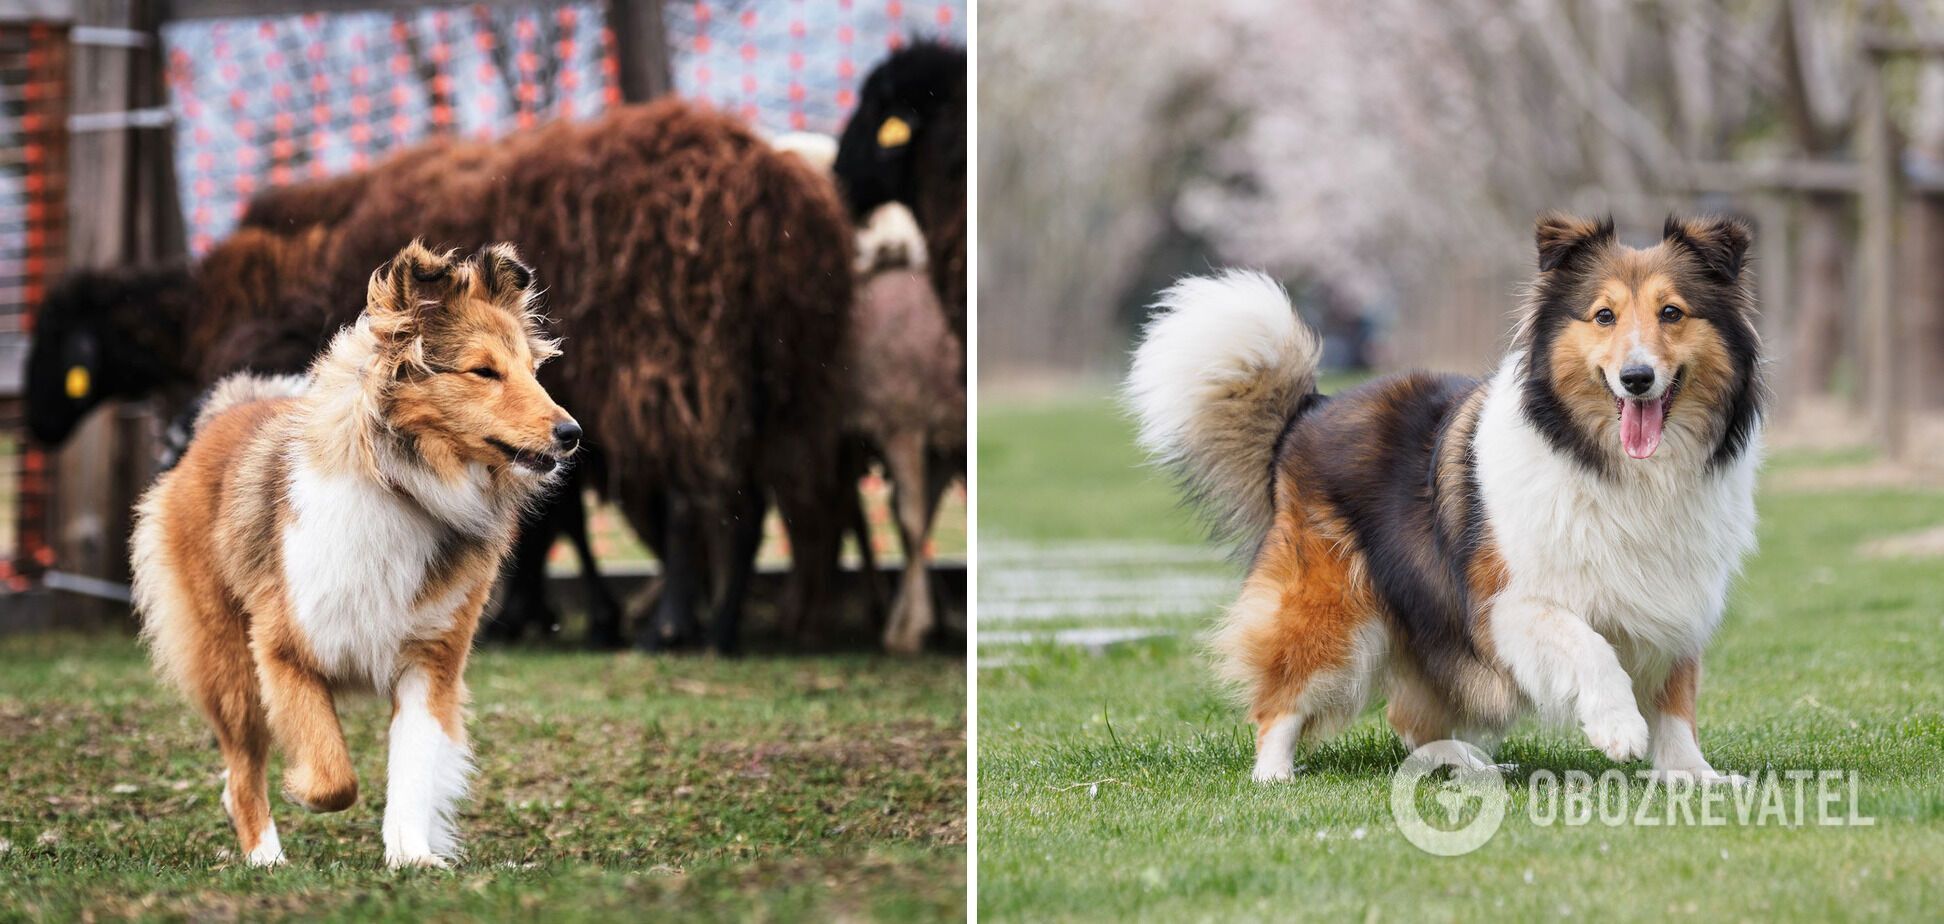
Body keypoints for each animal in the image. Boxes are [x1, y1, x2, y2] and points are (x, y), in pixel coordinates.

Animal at [26, 97, 851, 653]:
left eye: (59, 353)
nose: (33, 430)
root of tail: (773, 184)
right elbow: (547, 515)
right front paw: (538, 614)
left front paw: (539, 616)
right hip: (776, 382)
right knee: (749, 506)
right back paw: (722, 629)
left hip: (679, 367)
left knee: (690, 502)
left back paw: (676, 628)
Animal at [132, 238, 575, 867]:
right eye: (484, 371)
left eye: (534, 372)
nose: (573, 434)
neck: (408, 489)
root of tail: (221, 417)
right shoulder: (283, 649)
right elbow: (334, 777)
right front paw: (302, 789)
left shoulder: (430, 661)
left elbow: (412, 768)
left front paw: (412, 856)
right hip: (228, 663)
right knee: (243, 772)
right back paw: (266, 858)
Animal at [1135, 213, 1772, 785]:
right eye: (1604, 316)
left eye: (1672, 313)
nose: (1637, 379)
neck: (1615, 467)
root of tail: (1310, 409)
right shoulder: (1507, 604)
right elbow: (1589, 645)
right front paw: (1618, 727)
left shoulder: (1674, 599)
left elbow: (1676, 699)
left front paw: (1693, 775)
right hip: (1334, 613)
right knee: (1282, 699)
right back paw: (1274, 775)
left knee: (1412, 718)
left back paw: (1469, 764)